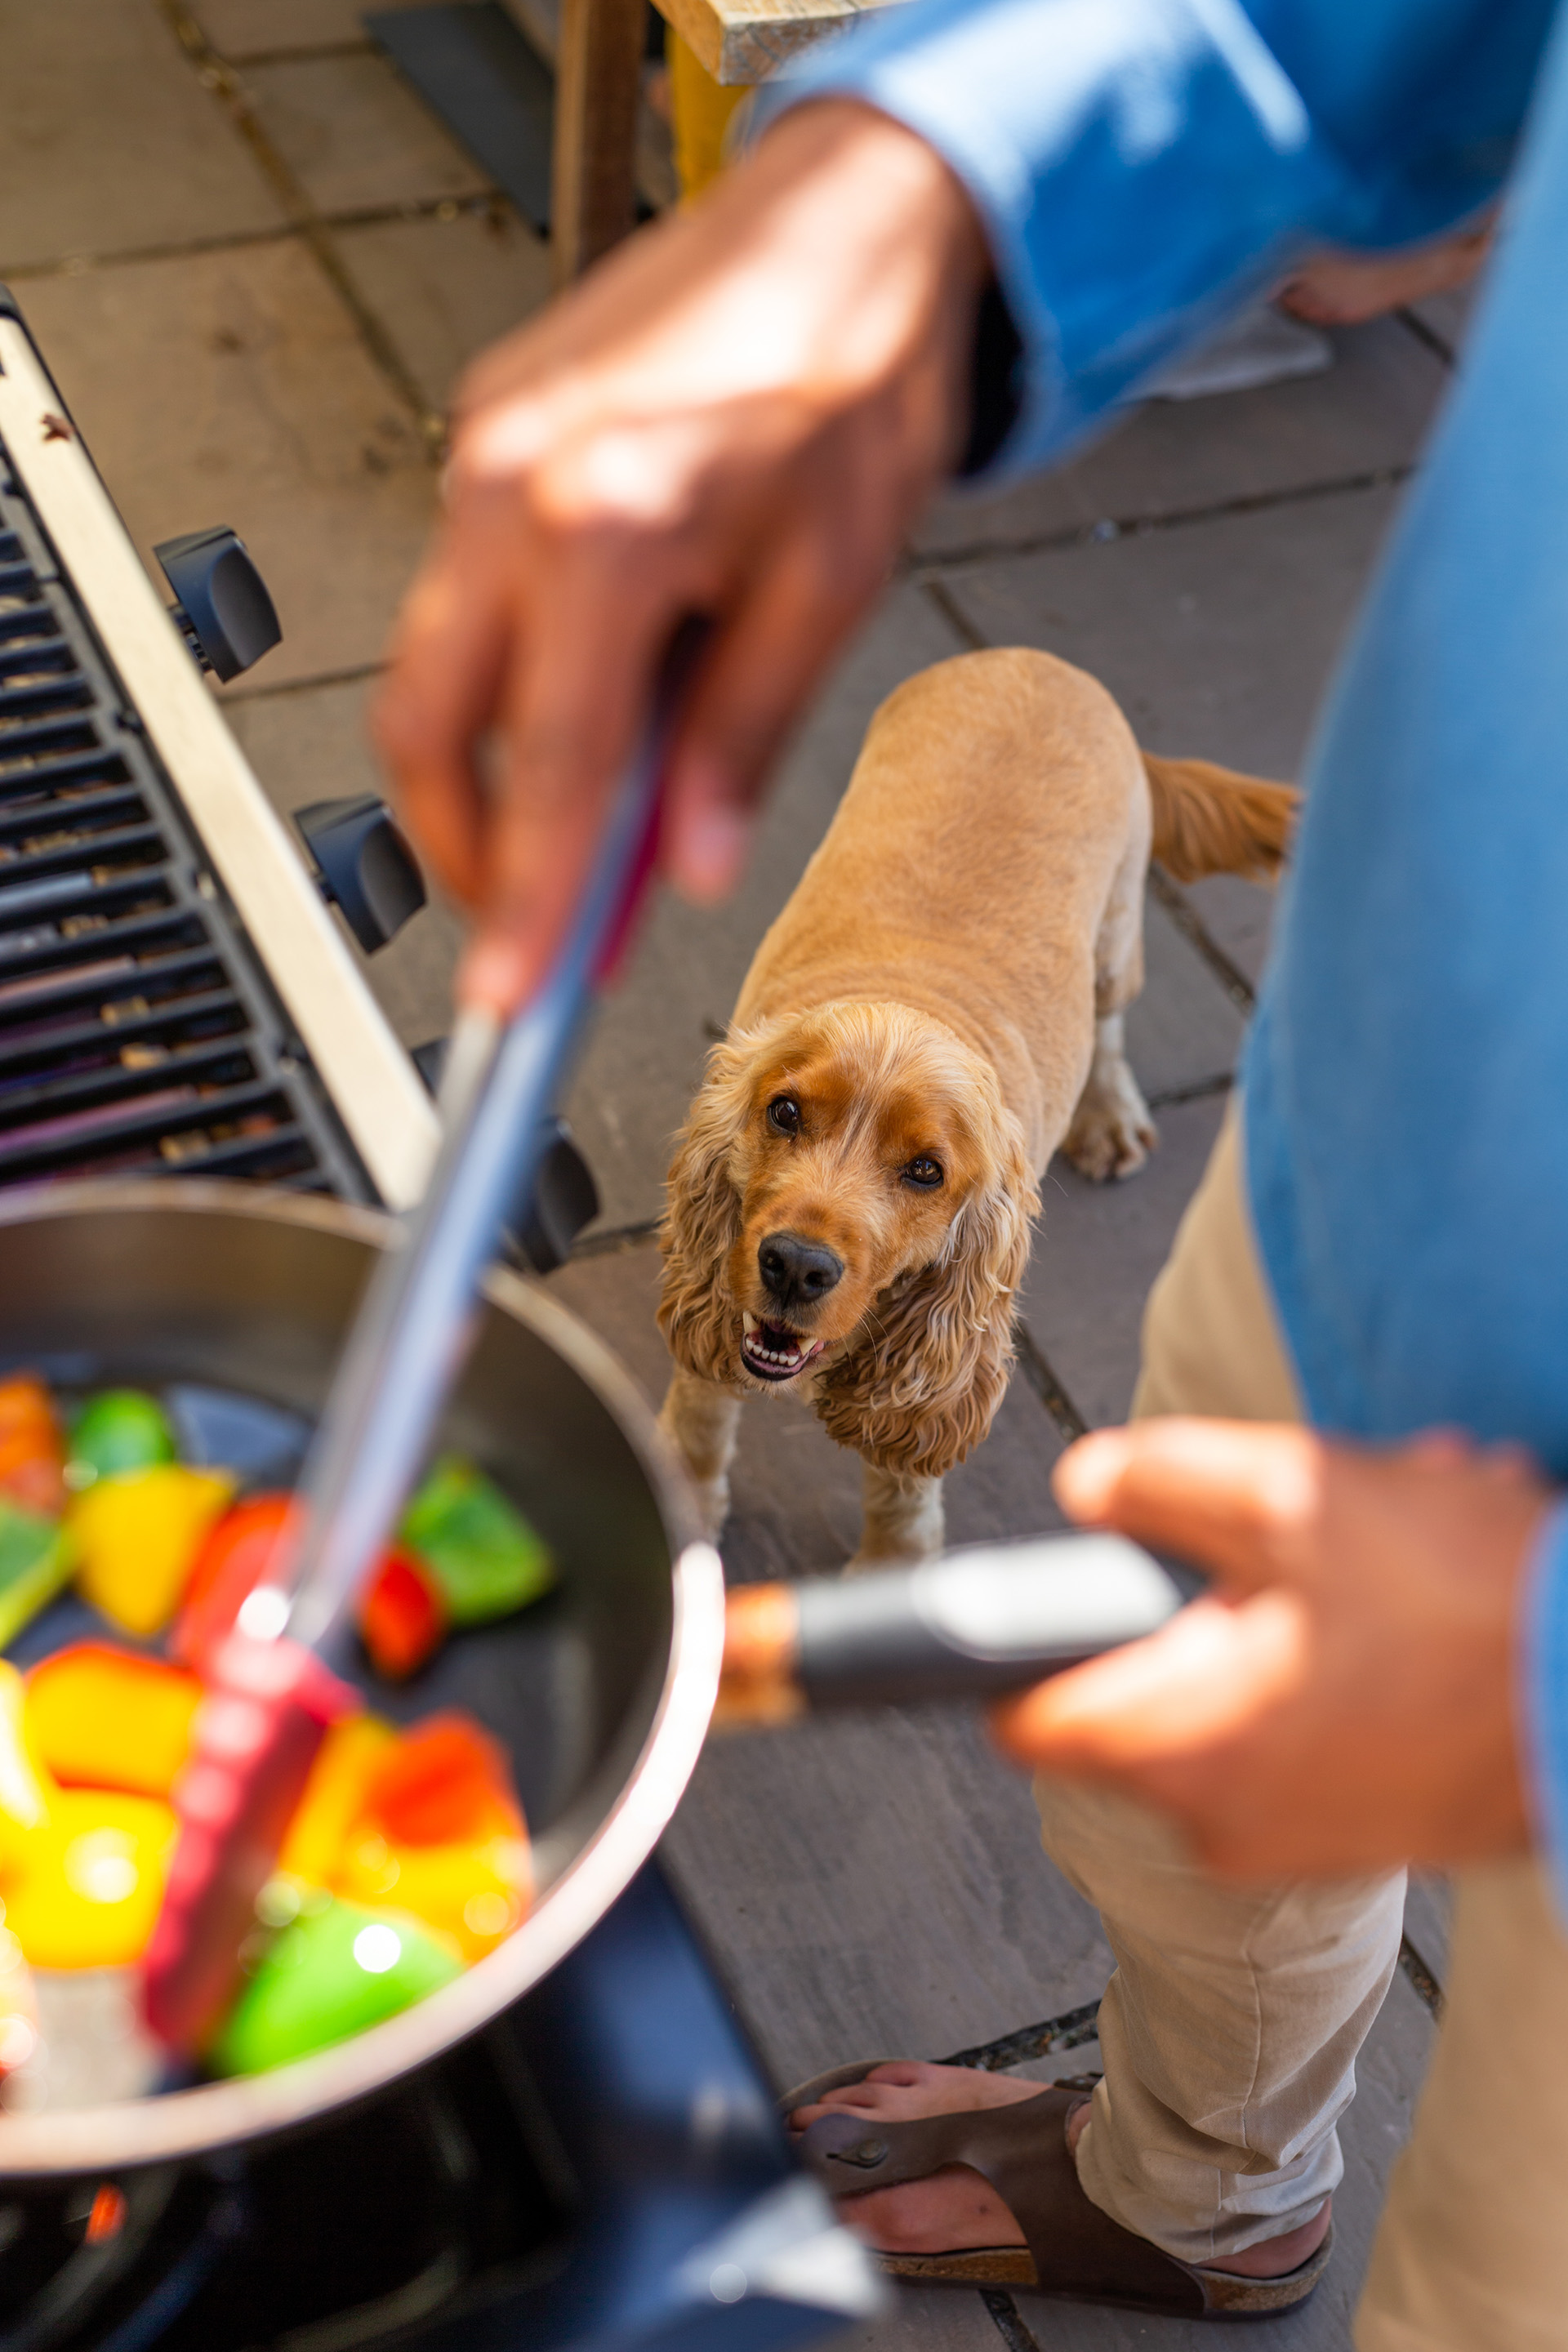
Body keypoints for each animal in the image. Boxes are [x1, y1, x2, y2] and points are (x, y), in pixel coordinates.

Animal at [657, 648, 1297, 1561]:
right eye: (784, 1113)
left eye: (927, 1172)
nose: (795, 1266)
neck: (912, 1001)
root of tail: (1033, 658)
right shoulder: (715, 1305)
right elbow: (700, 1421)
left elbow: (902, 1497)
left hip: (1118, 936)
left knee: (1108, 1020)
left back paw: (1108, 1115)